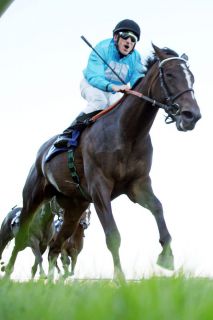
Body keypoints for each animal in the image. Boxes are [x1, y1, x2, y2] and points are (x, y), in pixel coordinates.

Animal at [5, 44, 201, 280]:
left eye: (192, 77)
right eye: (170, 74)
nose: (192, 116)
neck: (127, 133)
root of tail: (42, 151)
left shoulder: (138, 184)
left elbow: (158, 208)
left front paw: (167, 257)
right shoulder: (99, 187)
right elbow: (113, 235)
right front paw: (120, 279)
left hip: (74, 207)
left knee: (55, 247)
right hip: (33, 196)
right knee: (21, 239)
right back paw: (8, 274)